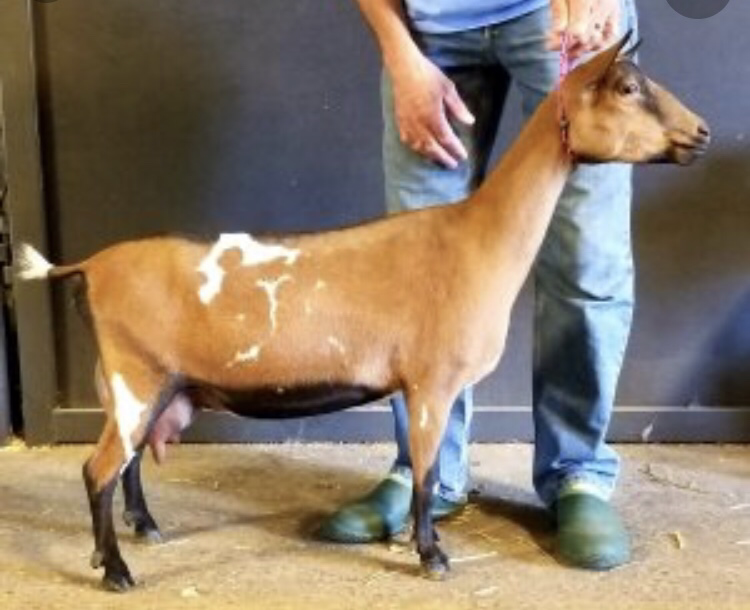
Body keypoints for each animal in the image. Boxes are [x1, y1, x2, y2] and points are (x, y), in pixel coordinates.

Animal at [17, 33, 709, 591]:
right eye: (628, 86)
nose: (701, 134)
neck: (475, 239)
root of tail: (88, 266)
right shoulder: (431, 382)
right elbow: (426, 474)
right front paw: (432, 556)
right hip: (136, 376)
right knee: (98, 469)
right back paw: (116, 570)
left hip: (138, 385)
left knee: (126, 463)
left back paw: (145, 529)